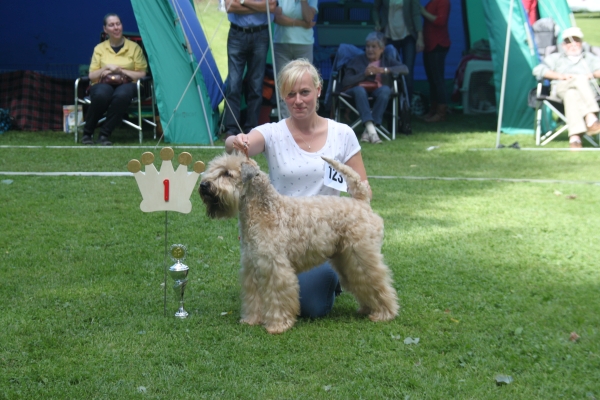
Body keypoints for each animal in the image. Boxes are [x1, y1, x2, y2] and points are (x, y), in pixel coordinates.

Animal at [199, 152, 398, 334]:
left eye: (227, 173)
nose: (203, 185)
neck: (265, 210)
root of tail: (362, 201)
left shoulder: (274, 266)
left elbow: (277, 296)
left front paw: (278, 325)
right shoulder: (252, 265)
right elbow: (253, 297)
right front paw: (251, 320)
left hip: (360, 255)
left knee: (376, 280)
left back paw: (385, 313)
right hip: (345, 258)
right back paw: (368, 308)